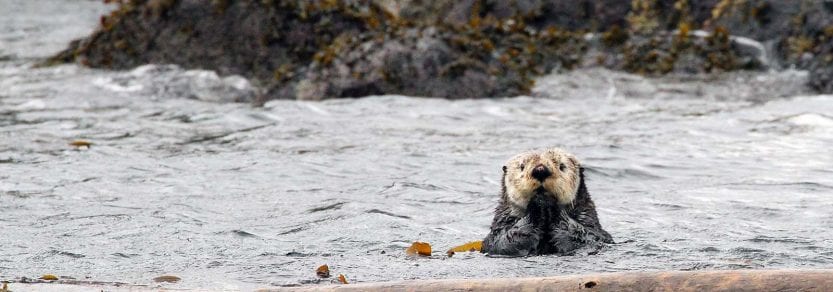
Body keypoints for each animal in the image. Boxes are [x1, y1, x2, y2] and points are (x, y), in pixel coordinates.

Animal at [480, 148, 612, 256]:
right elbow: (503, 242)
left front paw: (549, 203)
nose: (540, 170)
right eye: (522, 166)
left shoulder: (592, 226)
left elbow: (588, 238)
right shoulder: (500, 228)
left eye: (562, 166)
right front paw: (538, 204)